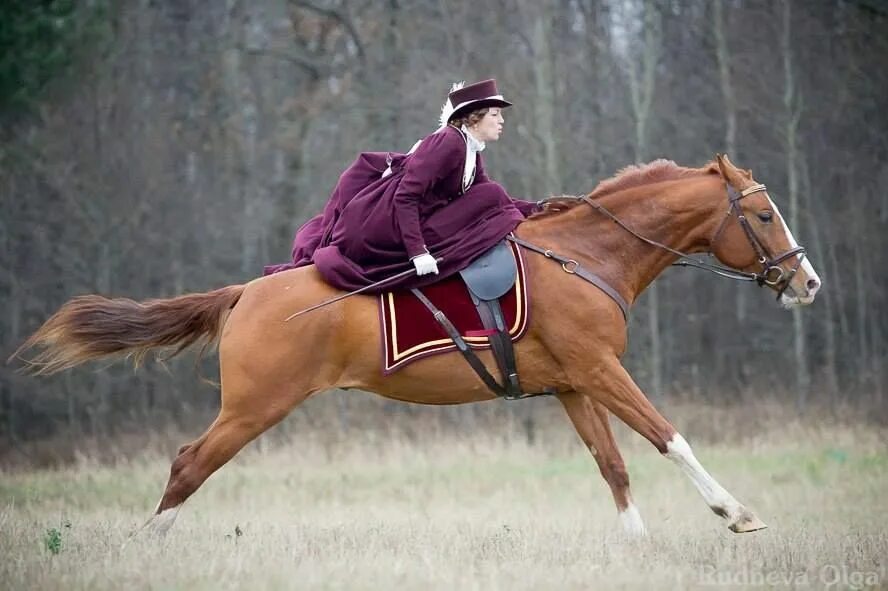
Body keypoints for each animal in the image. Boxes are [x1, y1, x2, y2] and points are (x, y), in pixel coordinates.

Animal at [12, 155, 820, 540]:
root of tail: (245, 292)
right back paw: (149, 542)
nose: (807, 282)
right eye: (764, 214)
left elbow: (613, 464)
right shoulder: (601, 369)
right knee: (188, 463)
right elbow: (669, 438)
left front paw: (637, 545)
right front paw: (735, 512)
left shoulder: (574, 384)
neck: (587, 255)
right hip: (253, 407)